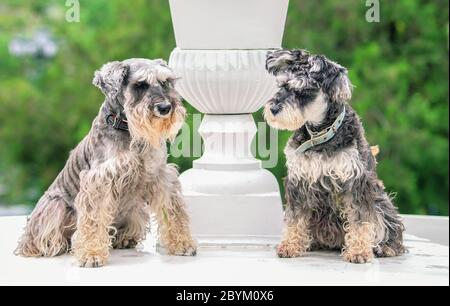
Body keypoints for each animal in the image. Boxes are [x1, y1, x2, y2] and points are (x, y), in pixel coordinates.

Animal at [16, 58, 196, 266]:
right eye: (140, 84)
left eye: (165, 82)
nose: (165, 108)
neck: (128, 130)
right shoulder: (99, 180)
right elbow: (93, 220)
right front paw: (91, 254)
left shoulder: (161, 176)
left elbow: (173, 212)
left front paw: (182, 243)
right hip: (55, 206)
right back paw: (53, 246)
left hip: (133, 207)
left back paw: (125, 238)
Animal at [266, 50, 406, 262]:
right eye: (281, 85)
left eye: (304, 91)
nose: (273, 109)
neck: (320, 134)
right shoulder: (298, 181)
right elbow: (294, 218)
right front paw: (290, 245)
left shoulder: (356, 182)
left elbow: (360, 220)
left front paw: (358, 252)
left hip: (381, 203)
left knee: (389, 226)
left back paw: (385, 247)